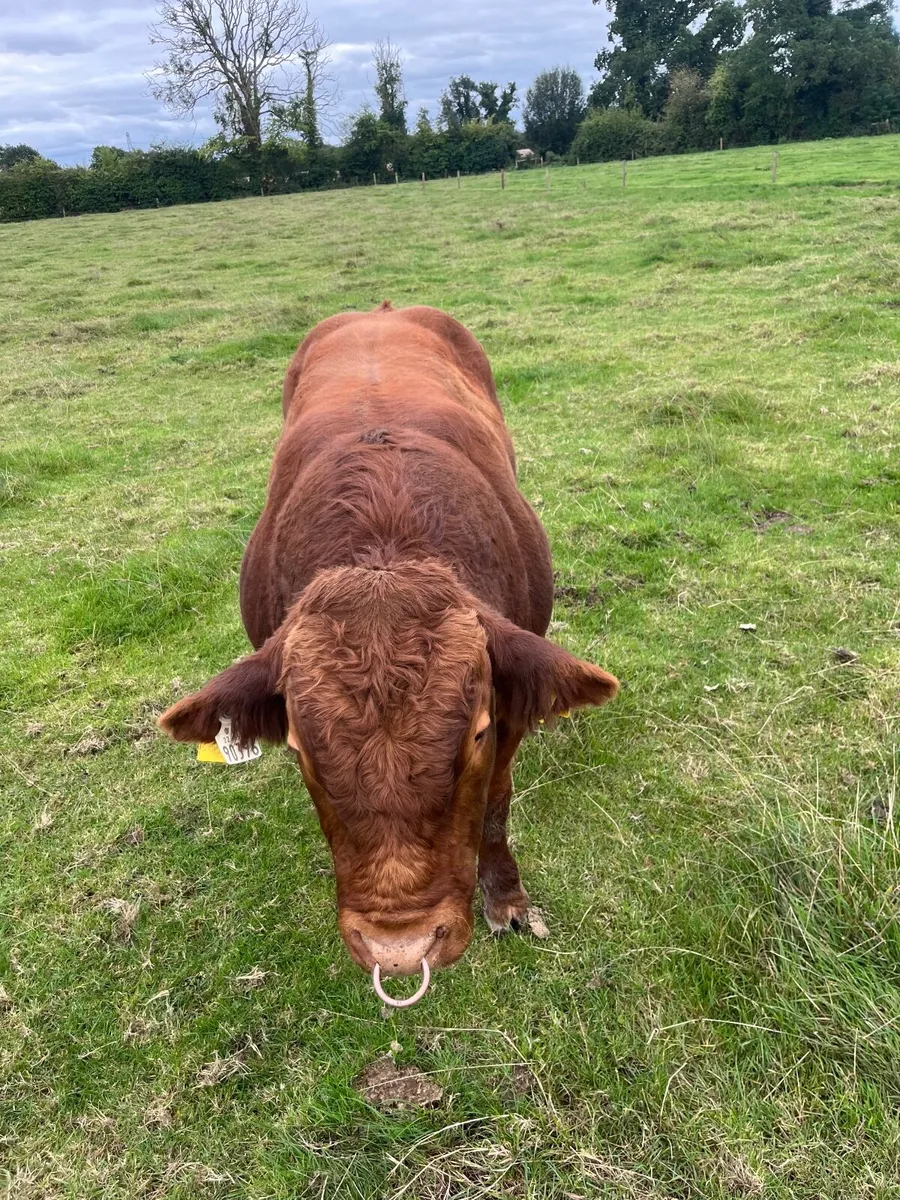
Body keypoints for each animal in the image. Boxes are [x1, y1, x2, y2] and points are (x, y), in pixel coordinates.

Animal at [158, 304, 618, 1004]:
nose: (399, 951)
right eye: (298, 748)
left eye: (477, 733)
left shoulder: (512, 714)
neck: (386, 538)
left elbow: (495, 806)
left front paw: (507, 900)